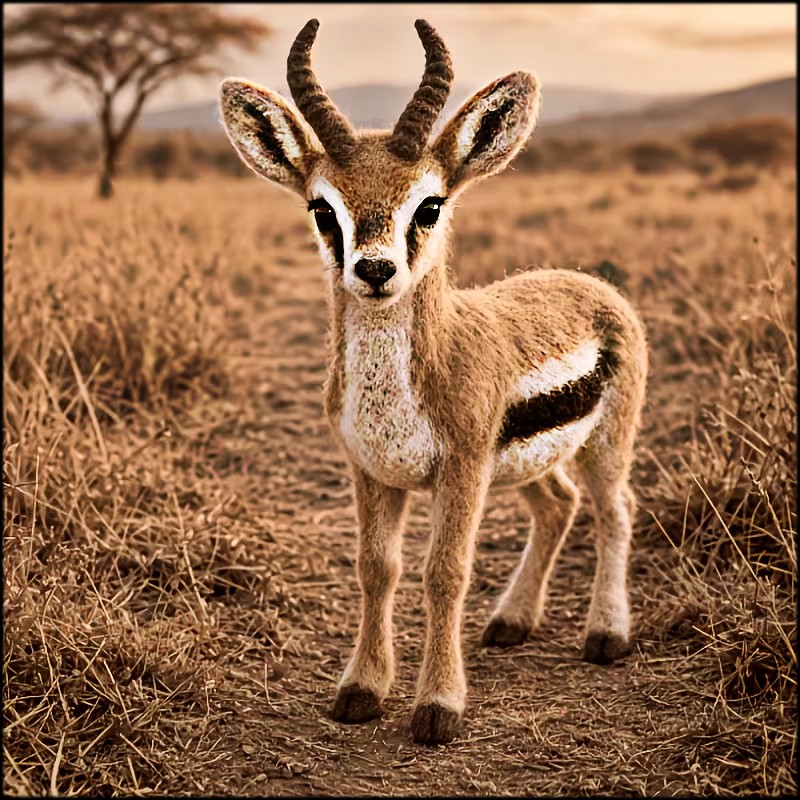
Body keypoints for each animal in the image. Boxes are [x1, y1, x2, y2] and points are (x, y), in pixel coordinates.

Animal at [220, 18, 648, 746]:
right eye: (322, 209)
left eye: (429, 204)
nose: (375, 270)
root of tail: (593, 285)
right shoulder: (372, 472)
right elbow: (377, 570)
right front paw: (361, 690)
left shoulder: (461, 469)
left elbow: (444, 573)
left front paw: (439, 707)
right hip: (528, 465)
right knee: (557, 507)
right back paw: (510, 623)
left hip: (603, 446)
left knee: (615, 510)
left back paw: (606, 636)